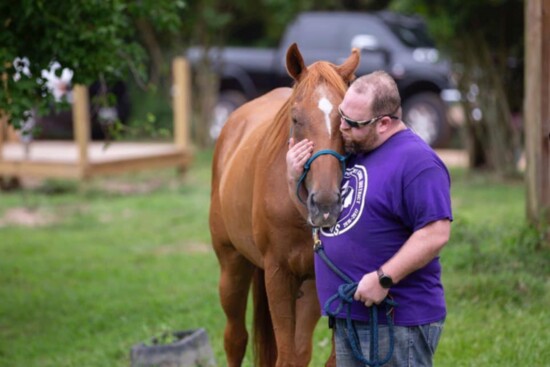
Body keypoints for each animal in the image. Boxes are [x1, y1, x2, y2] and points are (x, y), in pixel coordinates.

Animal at [209, 43, 360, 367]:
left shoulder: (317, 280)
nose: (325, 202)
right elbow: (286, 355)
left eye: (344, 120)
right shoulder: (277, 273)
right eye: (296, 118)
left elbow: (307, 353)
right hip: (232, 265)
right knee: (235, 338)